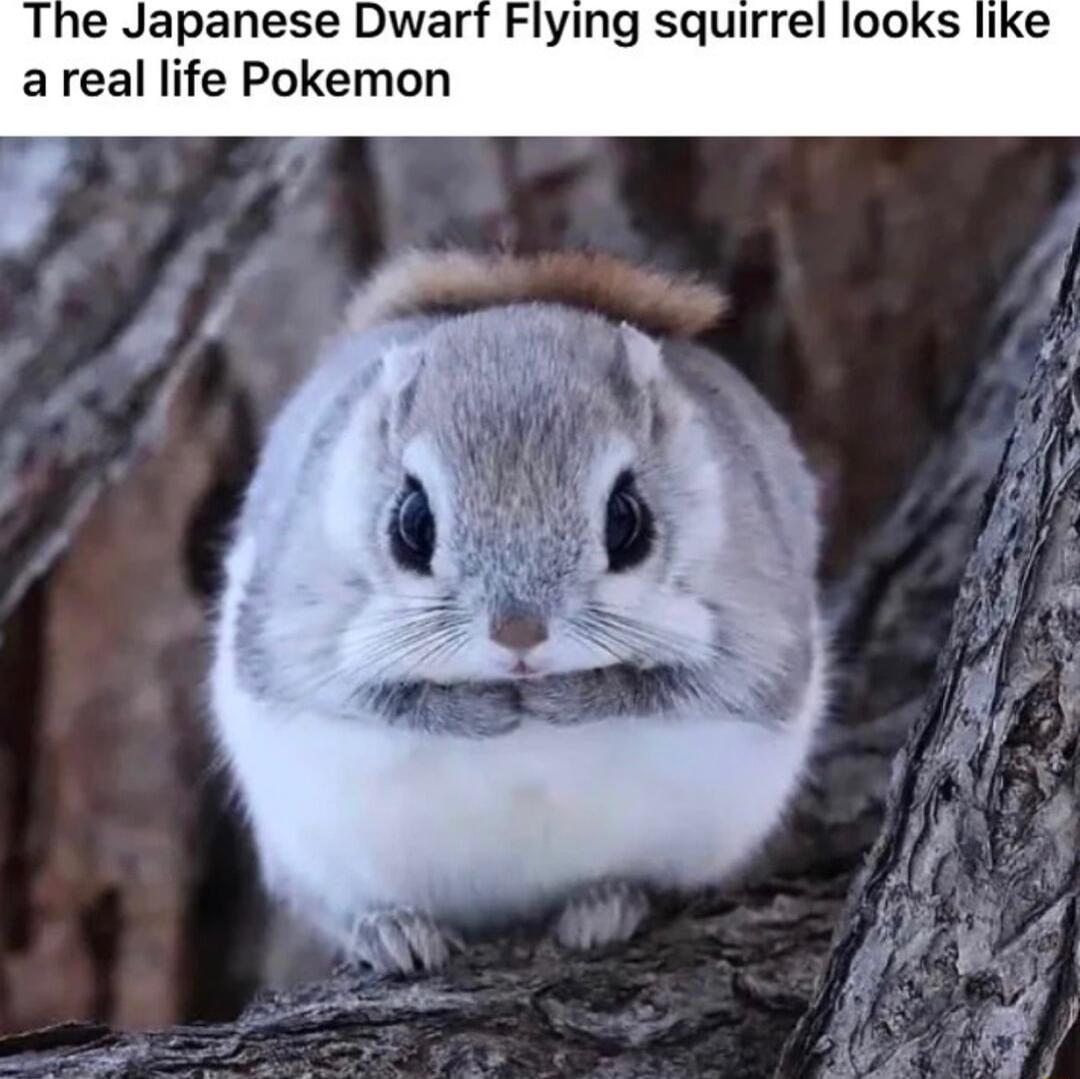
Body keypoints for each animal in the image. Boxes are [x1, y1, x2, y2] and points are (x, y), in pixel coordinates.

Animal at [211, 250, 827, 974]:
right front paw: (482, 709)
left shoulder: (755, 626)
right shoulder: (298, 627)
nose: (519, 634)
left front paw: (569, 698)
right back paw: (390, 931)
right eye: (411, 523)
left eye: (628, 521)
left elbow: (686, 686)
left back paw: (607, 905)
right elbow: (366, 695)